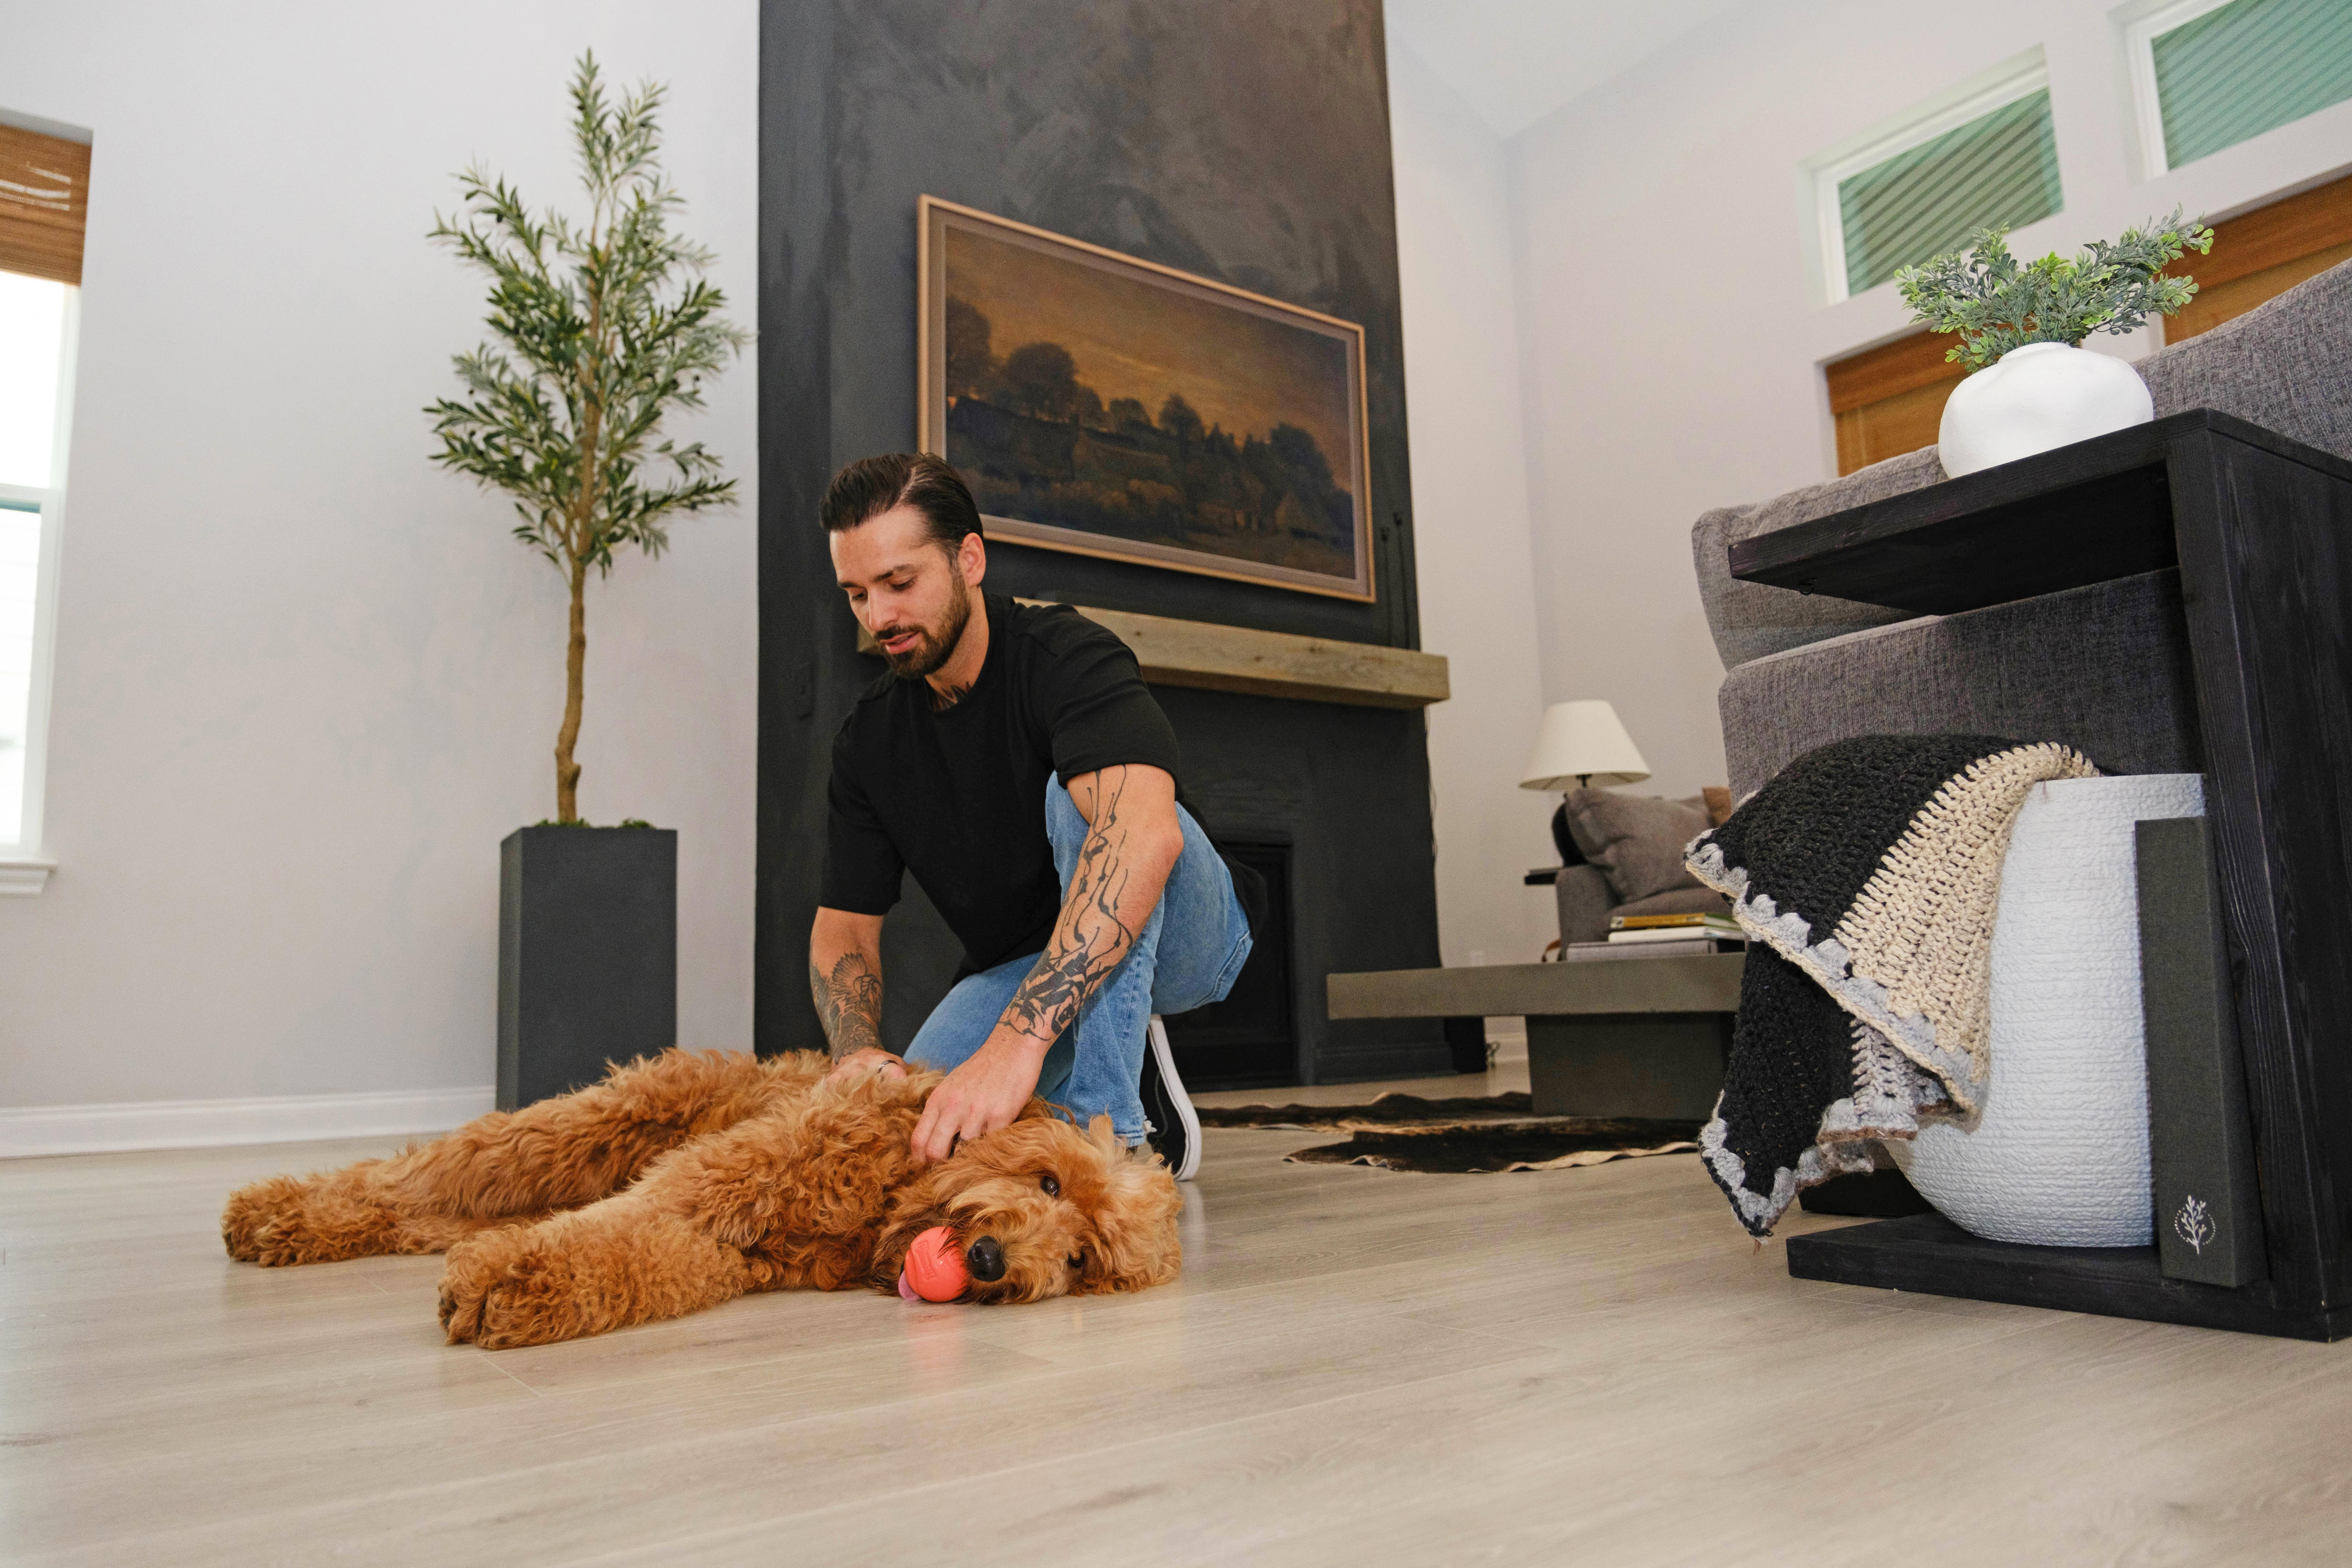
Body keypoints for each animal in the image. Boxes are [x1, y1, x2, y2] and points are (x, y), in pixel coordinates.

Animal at [221, 1043, 1185, 1354]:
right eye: (1049, 1181)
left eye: (1080, 1257)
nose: (990, 1260)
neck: (881, 1197)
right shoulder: (720, 1175)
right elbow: (627, 1218)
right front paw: (503, 1280)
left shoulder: (721, 1252)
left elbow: (625, 1258)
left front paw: (523, 1287)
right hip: (574, 1133)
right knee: (415, 1172)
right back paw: (269, 1209)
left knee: (415, 1210)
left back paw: (295, 1226)